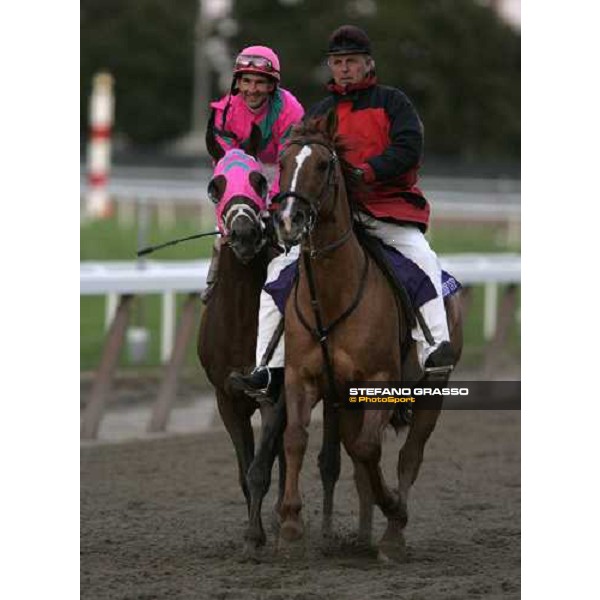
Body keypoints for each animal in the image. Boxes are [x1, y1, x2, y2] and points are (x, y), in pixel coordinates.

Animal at [274, 113, 464, 564]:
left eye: (322, 165)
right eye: (282, 162)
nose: (288, 219)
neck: (333, 295)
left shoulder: (380, 382)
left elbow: (369, 450)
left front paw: (393, 507)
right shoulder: (302, 377)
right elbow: (296, 438)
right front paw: (290, 527)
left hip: (433, 391)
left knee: (409, 455)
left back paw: (392, 534)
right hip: (347, 402)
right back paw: (363, 536)